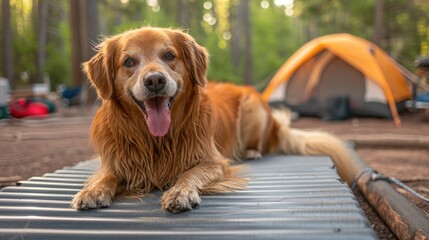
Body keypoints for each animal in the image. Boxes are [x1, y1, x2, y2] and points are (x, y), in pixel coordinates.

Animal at [71, 26, 352, 214]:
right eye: (129, 61)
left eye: (169, 56)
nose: (155, 80)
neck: (156, 141)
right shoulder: (118, 161)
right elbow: (108, 175)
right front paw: (93, 189)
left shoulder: (215, 162)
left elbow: (190, 173)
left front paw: (181, 191)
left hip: (252, 109)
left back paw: (251, 152)